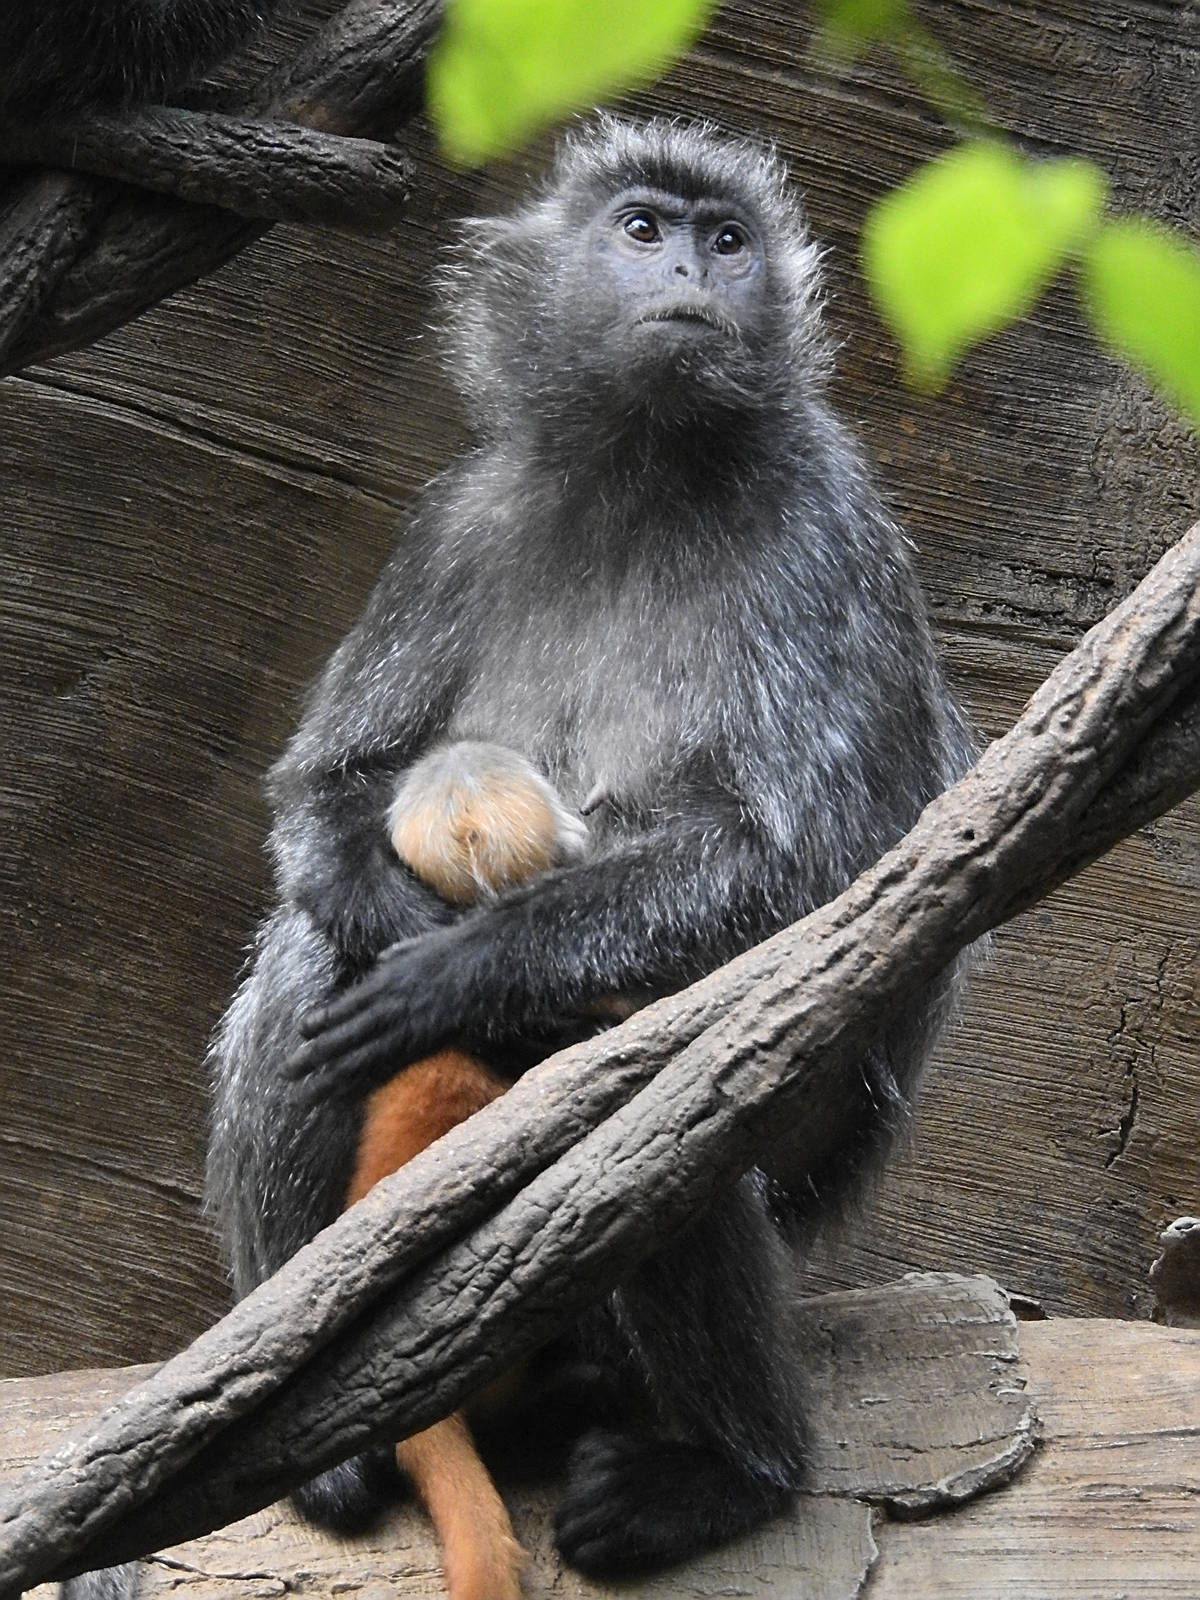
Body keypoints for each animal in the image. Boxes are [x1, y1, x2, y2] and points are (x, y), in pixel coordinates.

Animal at [206, 114, 979, 1590]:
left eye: (727, 239)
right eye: (641, 228)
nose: (690, 267)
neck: (650, 468)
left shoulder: (826, 515)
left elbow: (821, 879)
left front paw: (456, 971)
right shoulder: (458, 513)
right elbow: (324, 784)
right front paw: (399, 931)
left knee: (684, 1084)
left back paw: (733, 1471)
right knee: (306, 953)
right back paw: (311, 1408)